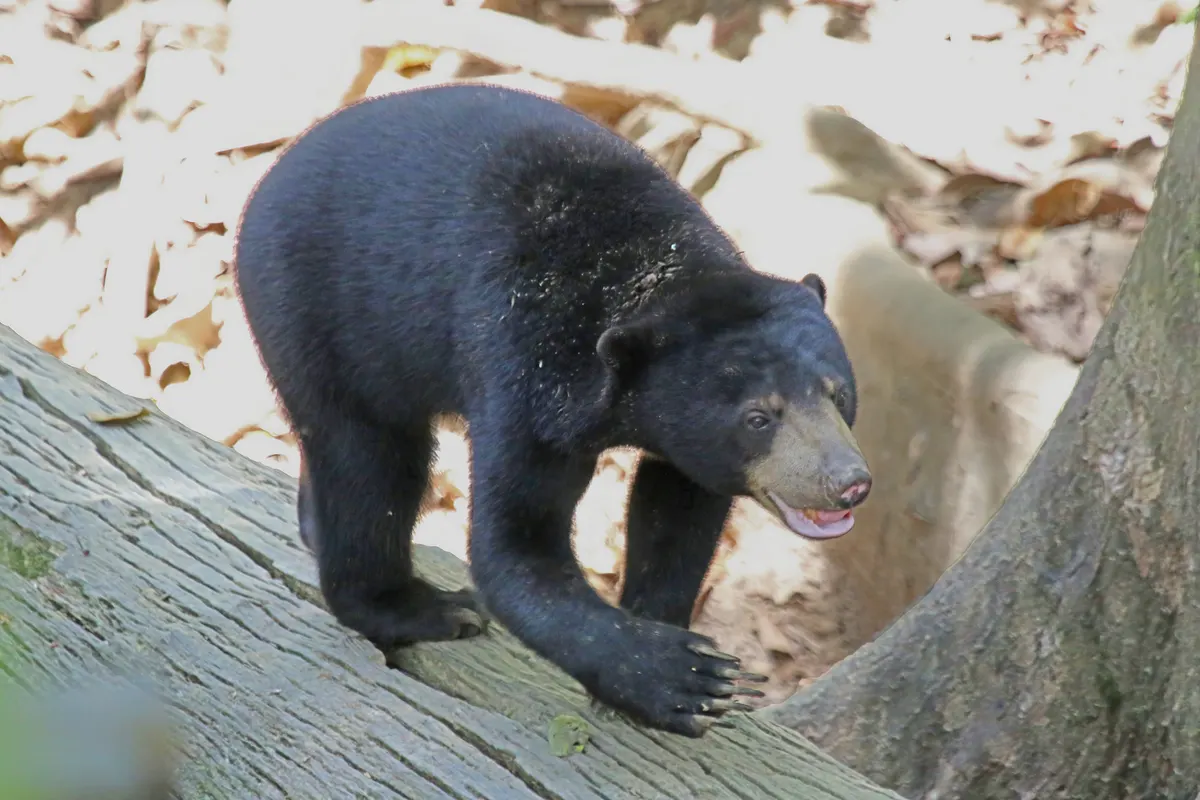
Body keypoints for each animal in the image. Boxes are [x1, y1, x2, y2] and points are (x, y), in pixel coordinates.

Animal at [233, 83, 872, 738]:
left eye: (838, 394)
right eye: (758, 417)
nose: (848, 483)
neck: (652, 266)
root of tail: (273, 171)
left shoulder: (680, 439)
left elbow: (678, 513)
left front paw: (668, 638)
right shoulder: (526, 372)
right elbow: (517, 544)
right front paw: (678, 677)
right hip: (320, 320)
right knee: (369, 465)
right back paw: (421, 608)